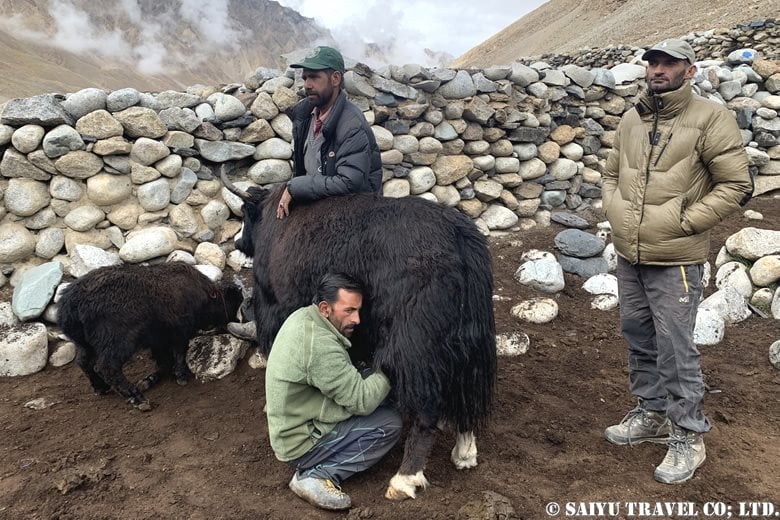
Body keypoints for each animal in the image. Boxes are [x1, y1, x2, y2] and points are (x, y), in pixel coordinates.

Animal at [58, 264, 242, 410]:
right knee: (106, 367)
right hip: (118, 344)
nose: (235, 321)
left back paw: (101, 388)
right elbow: (178, 354)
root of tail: (71, 302)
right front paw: (181, 376)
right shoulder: (179, 331)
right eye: (231, 301)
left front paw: (150, 379)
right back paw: (137, 398)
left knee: (84, 363)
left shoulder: (159, 339)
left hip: (85, 344)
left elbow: (164, 362)